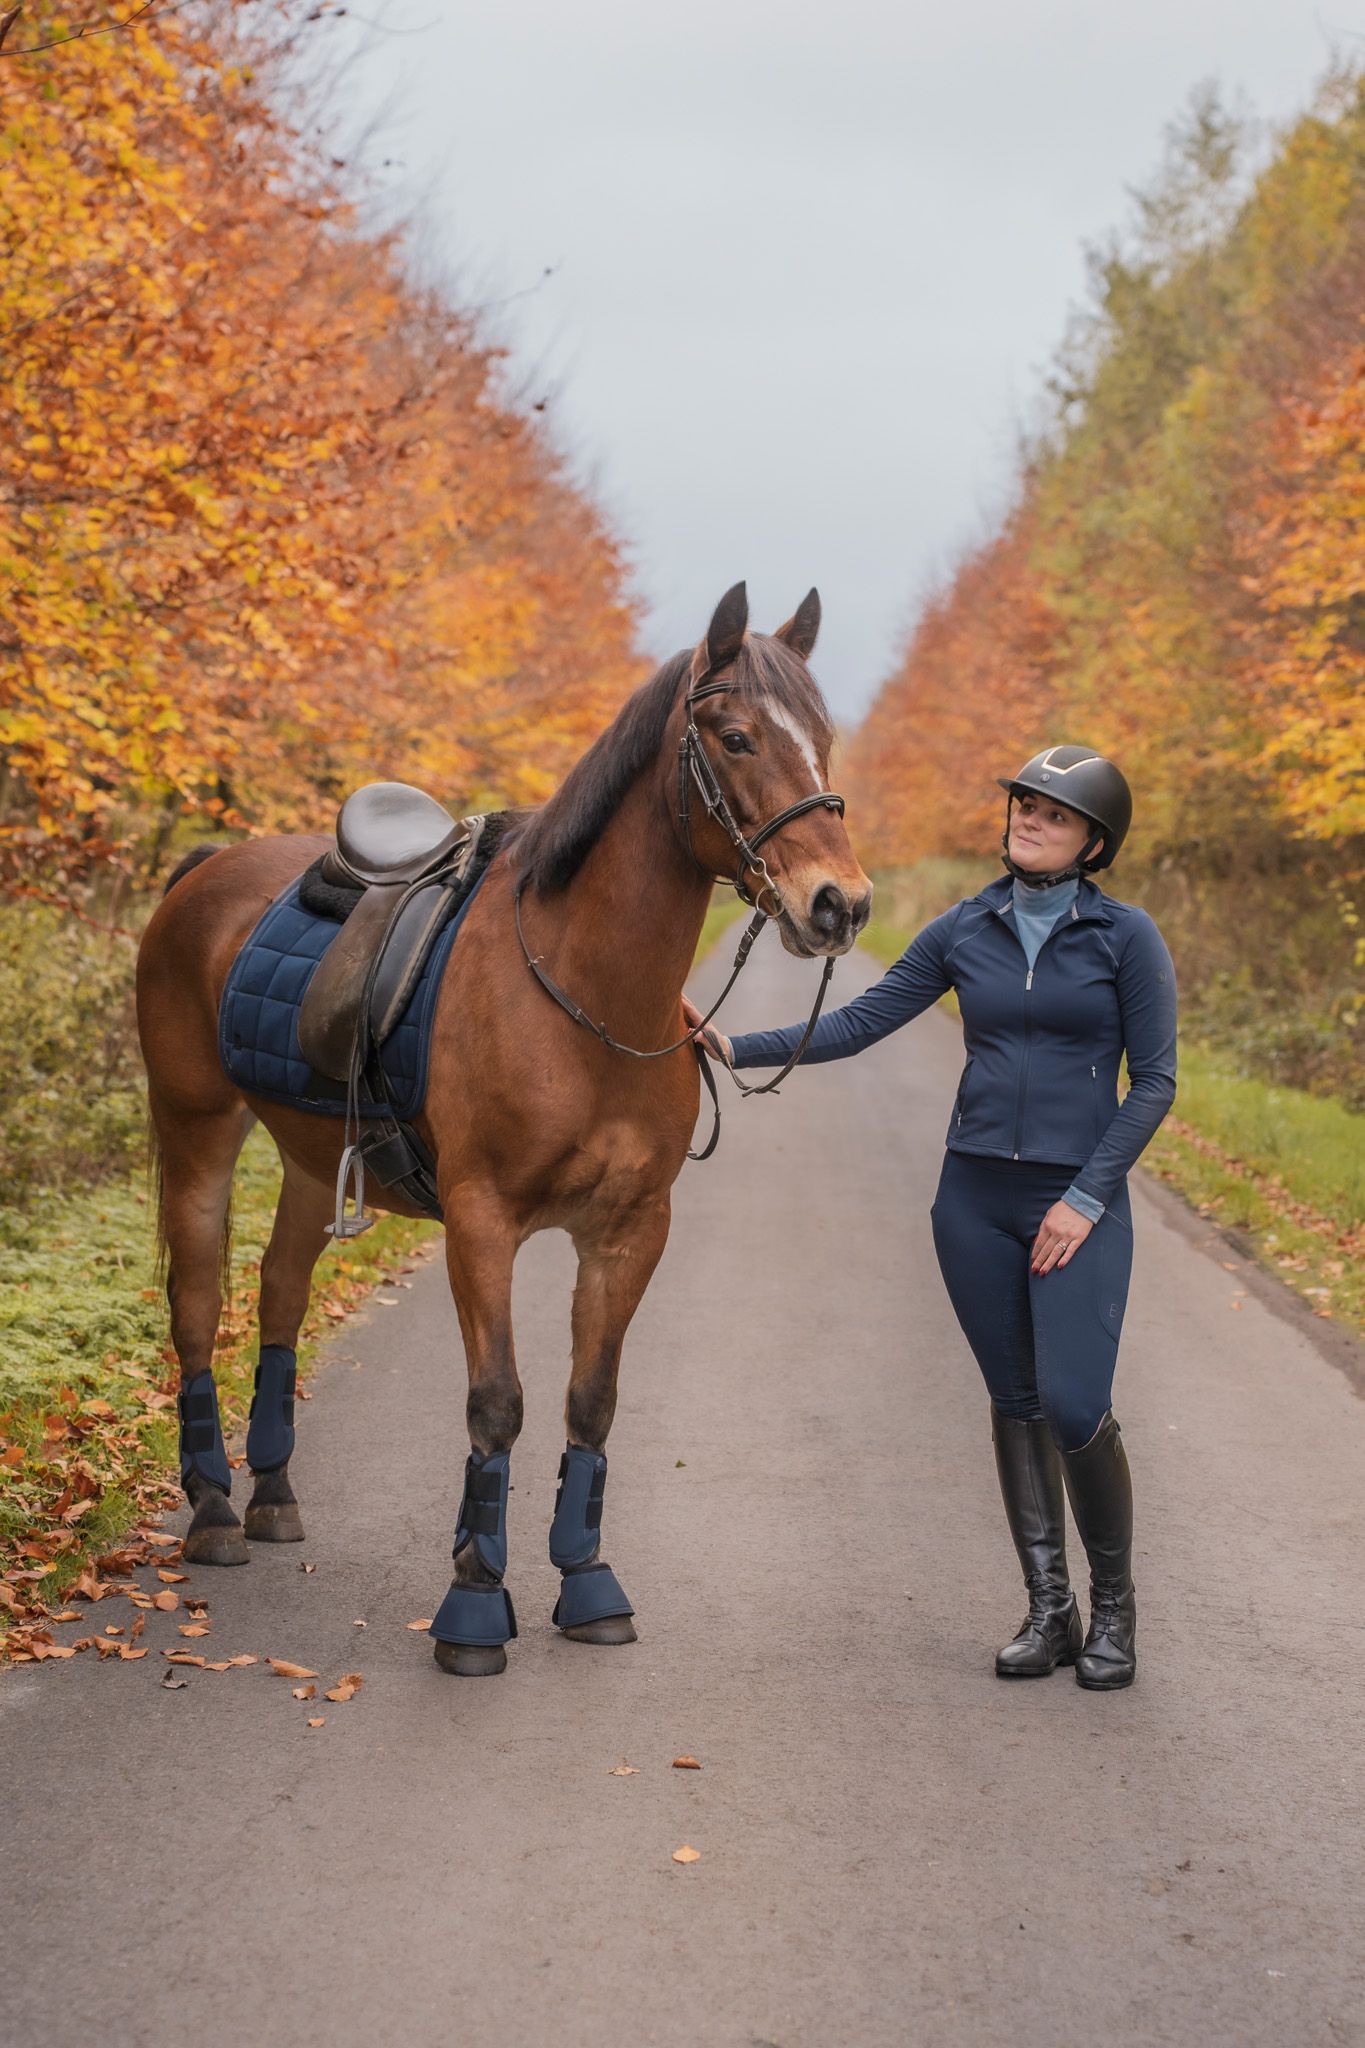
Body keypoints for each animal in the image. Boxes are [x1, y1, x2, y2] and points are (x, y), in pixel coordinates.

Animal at [136, 582, 872, 1674]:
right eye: (736, 737)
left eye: (823, 740)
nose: (840, 904)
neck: (584, 995)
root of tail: (205, 870)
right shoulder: (483, 1223)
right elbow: (499, 1402)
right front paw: (476, 1601)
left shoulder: (629, 1230)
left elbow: (590, 1402)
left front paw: (588, 1582)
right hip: (195, 1128)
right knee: (197, 1301)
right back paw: (217, 1508)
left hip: (310, 1156)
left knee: (278, 1293)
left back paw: (271, 1493)